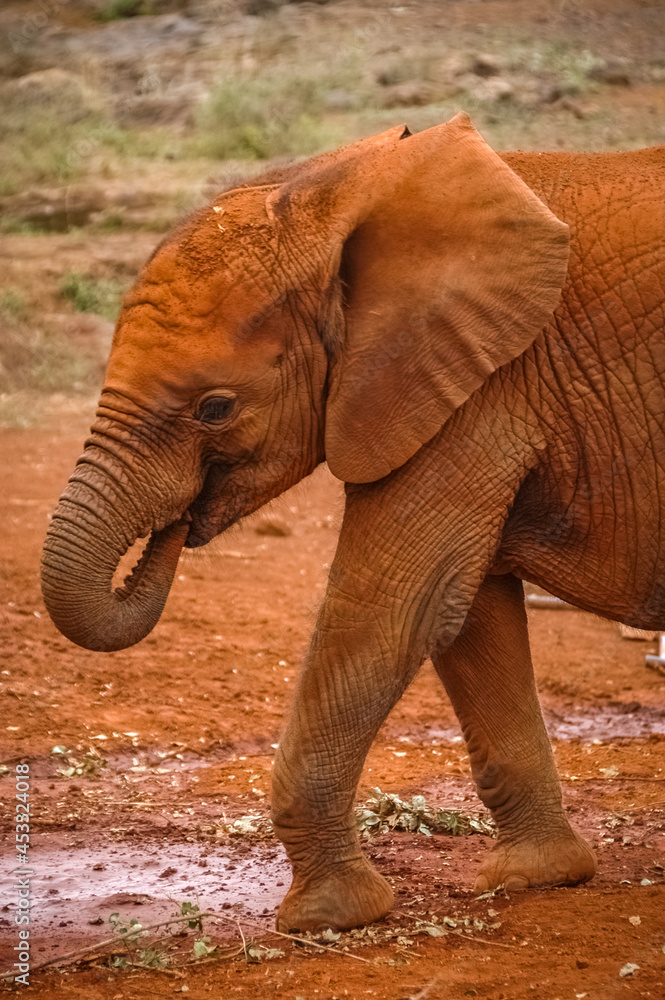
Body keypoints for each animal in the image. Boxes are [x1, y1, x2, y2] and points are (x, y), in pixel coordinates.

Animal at [41, 112, 665, 932]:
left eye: (216, 408)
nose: (175, 527)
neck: (337, 187)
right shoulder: (464, 382)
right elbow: (464, 607)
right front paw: (536, 878)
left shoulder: (486, 386)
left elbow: (388, 606)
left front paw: (328, 918)